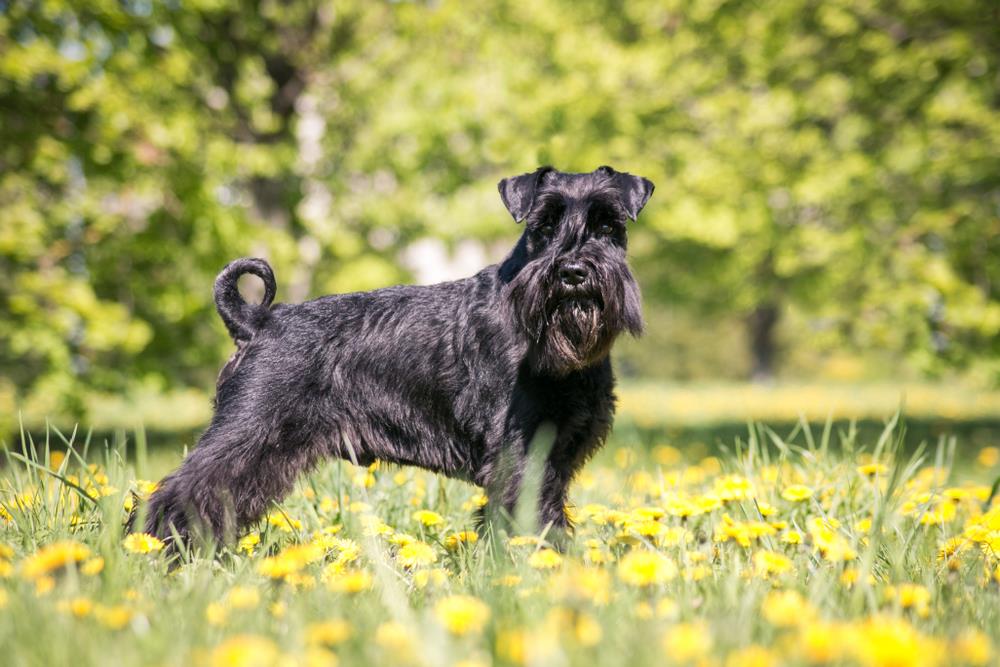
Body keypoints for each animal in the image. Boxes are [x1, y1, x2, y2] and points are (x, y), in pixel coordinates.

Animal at [143, 166, 656, 548]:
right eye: (543, 225)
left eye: (608, 225)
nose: (573, 272)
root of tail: (257, 321)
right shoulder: (520, 453)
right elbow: (529, 520)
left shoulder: (557, 454)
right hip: (249, 431)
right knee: (184, 490)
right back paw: (160, 551)